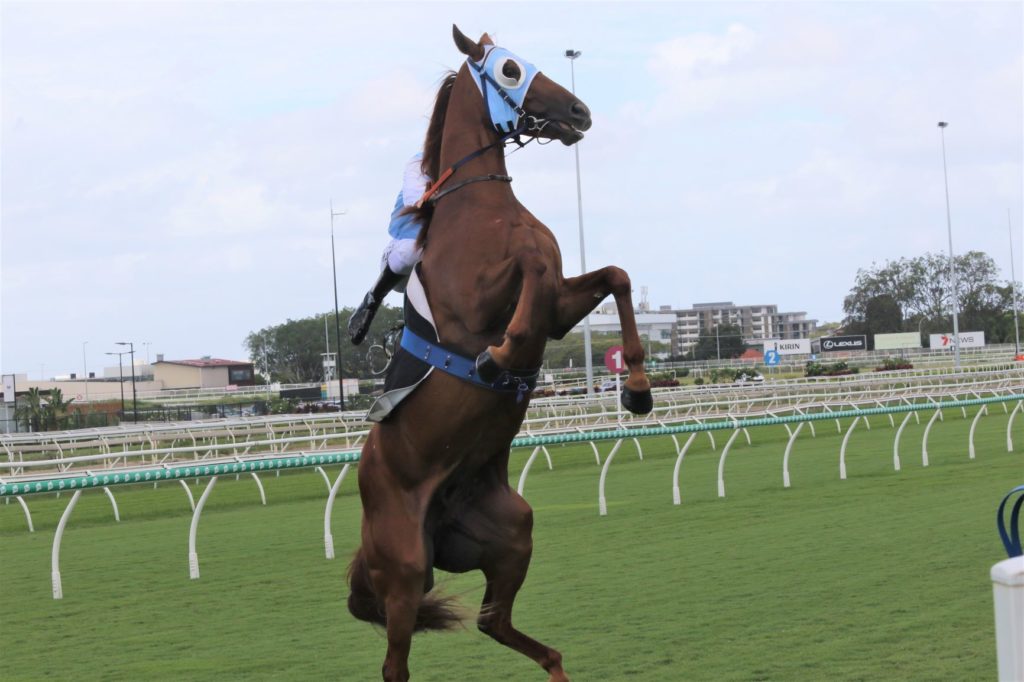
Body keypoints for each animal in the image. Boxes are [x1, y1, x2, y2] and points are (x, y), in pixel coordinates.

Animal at [347, 26, 653, 682]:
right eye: (510, 69)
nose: (579, 112)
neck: (479, 205)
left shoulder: (559, 305)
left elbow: (613, 275)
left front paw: (639, 388)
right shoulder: (475, 302)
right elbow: (530, 270)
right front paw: (500, 355)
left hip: (512, 529)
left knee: (494, 621)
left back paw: (557, 665)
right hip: (404, 564)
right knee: (395, 665)